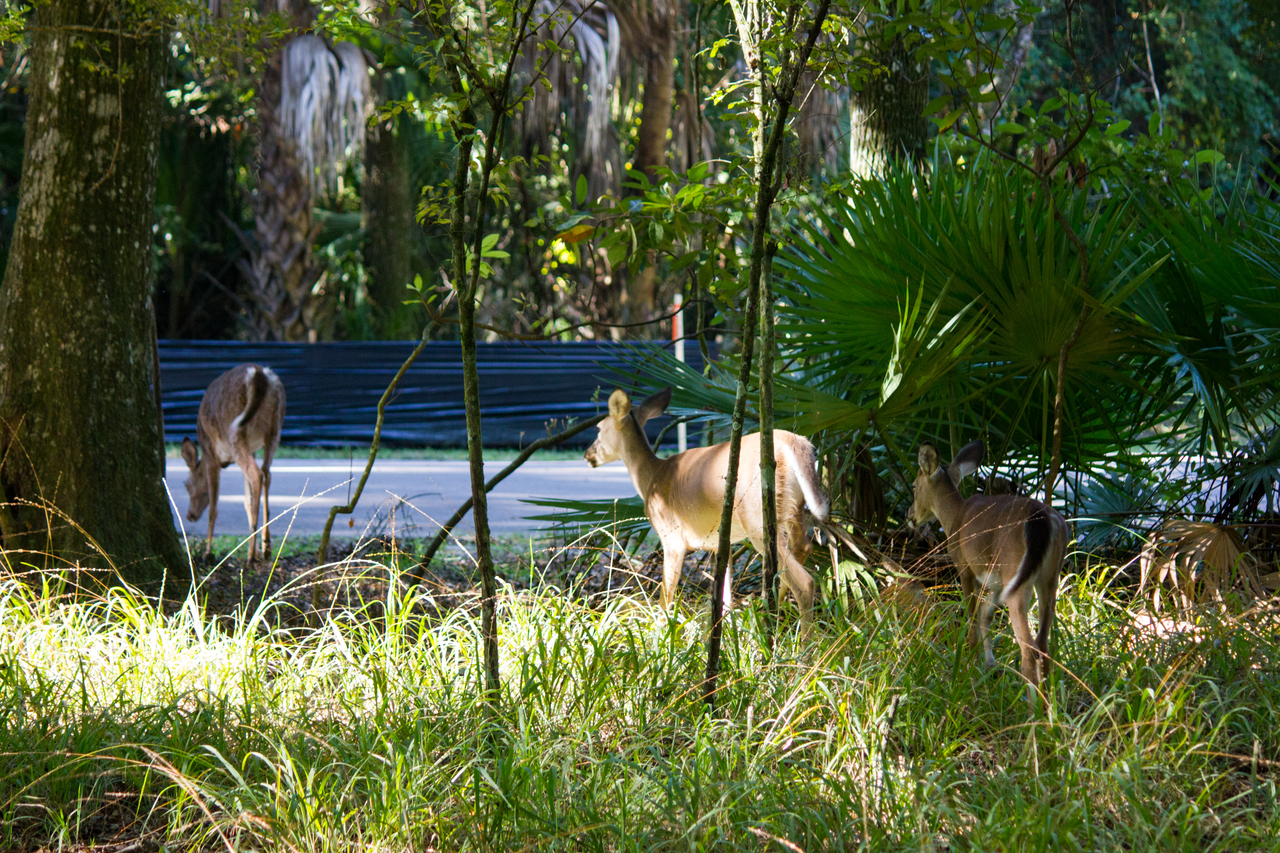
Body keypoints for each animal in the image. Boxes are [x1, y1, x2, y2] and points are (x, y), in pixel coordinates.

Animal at [180, 361, 285, 560]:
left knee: (256, 474)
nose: (190, 515)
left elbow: (214, 506)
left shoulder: (210, 453)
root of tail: (259, 374)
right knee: (266, 473)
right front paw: (258, 548)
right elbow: (247, 501)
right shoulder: (253, 449)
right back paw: (266, 547)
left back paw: (251, 555)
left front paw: (208, 551)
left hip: (234, 431)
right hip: (274, 428)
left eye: (187, 485)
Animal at [583, 386, 829, 625]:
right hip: (794, 508)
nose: (587, 455)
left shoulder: (671, 536)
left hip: (758, 517)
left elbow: (665, 600)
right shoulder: (721, 542)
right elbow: (724, 601)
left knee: (805, 583)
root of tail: (796, 444)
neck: (652, 476)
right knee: (804, 548)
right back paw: (771, 615)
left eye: (598, 428)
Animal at [911, 438, 1070, 701]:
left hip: (1016, 574)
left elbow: (973, 621)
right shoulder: (996, 583)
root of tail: (1044, 520)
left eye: (914, 486)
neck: (955, 517)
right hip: (1048, 577)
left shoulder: (965, 567)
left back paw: (1032, 707)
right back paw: (1048, 706)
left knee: (1029, 647)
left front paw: (970, 669)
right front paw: (989, 666)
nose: (909, 517)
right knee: (1044, 643)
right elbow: (986, 616)